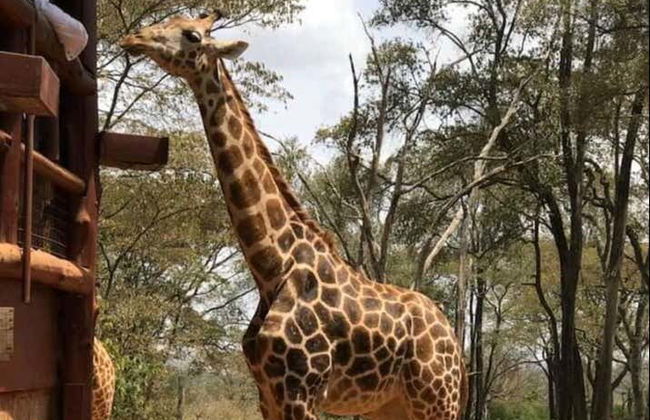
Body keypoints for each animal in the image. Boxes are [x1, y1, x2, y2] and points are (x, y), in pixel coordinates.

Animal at [120, 12, 467, 420]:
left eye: (192, 35)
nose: (133, 38)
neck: (272, 268)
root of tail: (455, 344)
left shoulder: (300, 390)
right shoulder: (267, 392)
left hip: (437, 396)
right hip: (390, 405)